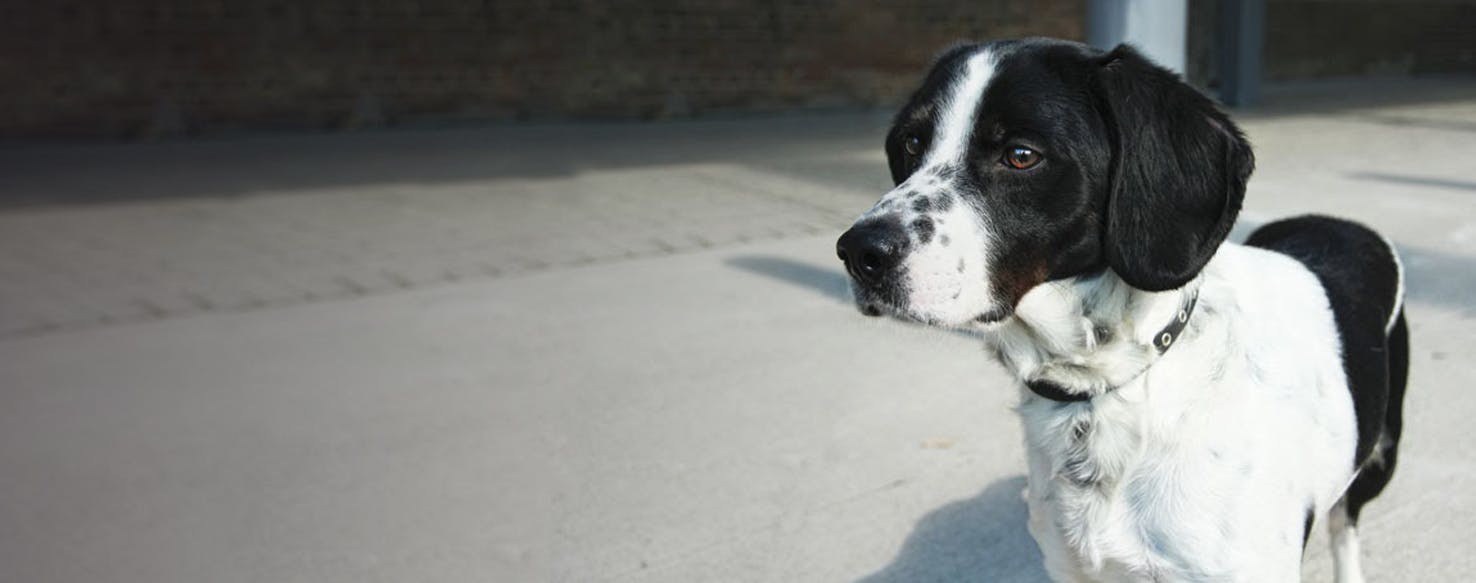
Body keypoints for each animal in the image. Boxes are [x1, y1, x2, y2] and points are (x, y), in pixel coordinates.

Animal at [844, 38, 1405, 581]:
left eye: (1021, 154)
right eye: (912, 143)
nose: (857, 252)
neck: (1101, 388)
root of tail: (1337, 222)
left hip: (1379, 458)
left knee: (1345, 527)